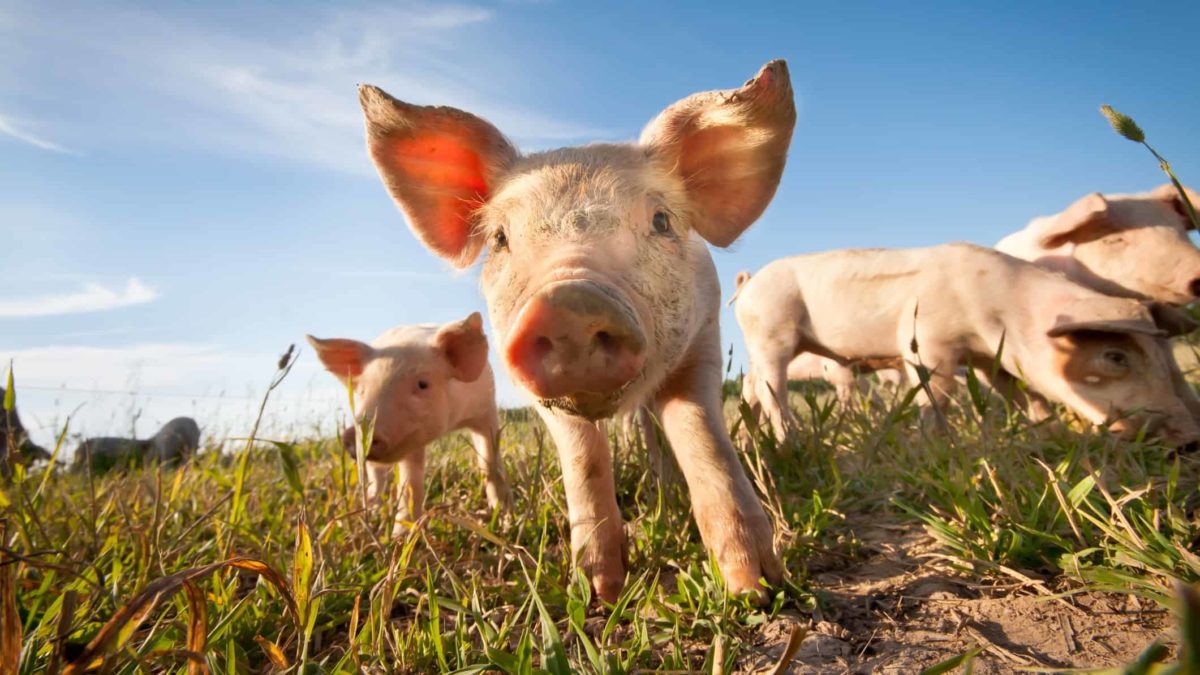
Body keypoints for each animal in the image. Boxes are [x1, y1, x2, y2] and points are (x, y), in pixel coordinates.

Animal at [306, 313, 511, 531]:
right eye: (362, 390)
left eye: (422, 384)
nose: (354, 433)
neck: (452, 423)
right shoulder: (411, 440)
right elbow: (410, 482)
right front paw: (402, 534)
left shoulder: (486, 408)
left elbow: (490, 462)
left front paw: (506, 519)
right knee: (376, 476)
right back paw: (374, 509)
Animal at [358, 61, 796, 602]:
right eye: (500, 238)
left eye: (661, 220)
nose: (569, 303)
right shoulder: (536, 393)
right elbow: (583, 458)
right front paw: (599, 590)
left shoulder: (703, 340)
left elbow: (703, 437)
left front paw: (757, 587)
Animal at [734, 243, 1200, 445]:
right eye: (1114, 356)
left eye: (1162, 360)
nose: (1190, 435)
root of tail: (749, 282)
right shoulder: (927, 342)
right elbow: (936, 392)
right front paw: (935, 442)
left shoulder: (989, 359)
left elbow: (1021, 393)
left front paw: (1046, 430)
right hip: (772, 331)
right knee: (772, 389)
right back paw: (789, 441)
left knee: (750, 388)